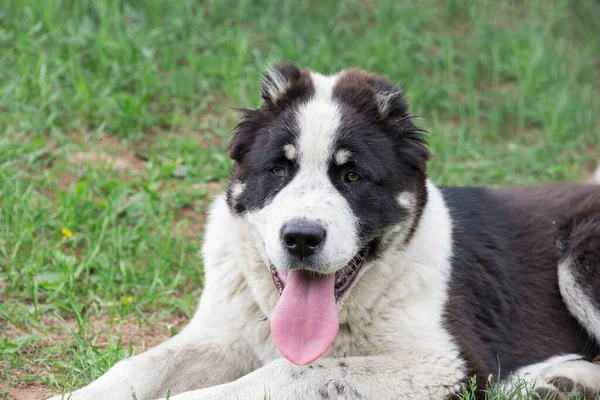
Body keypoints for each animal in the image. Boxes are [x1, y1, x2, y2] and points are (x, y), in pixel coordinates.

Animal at [51, 64, 600, 398]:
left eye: (352, 176)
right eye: (278, 169)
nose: (300, 238)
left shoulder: (441, 362)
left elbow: (297, 370)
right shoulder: (222, 334)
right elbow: (140, 365)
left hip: (580, 251)